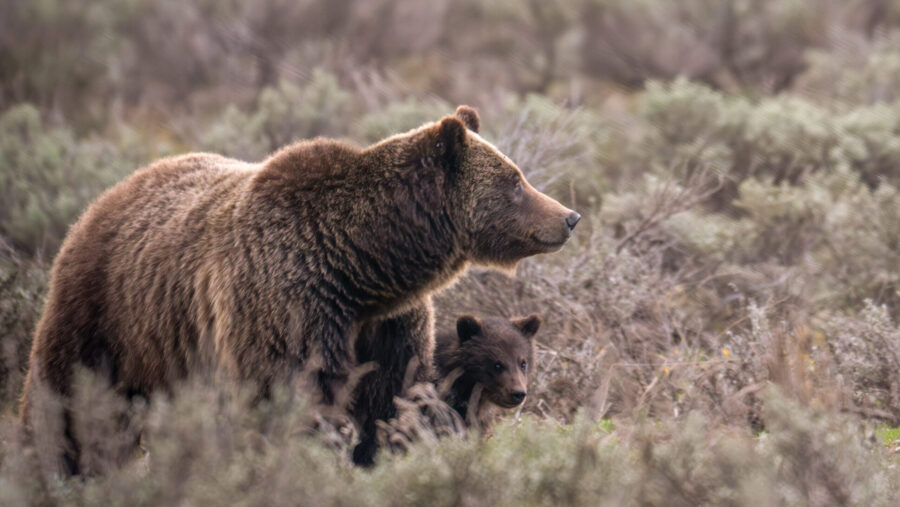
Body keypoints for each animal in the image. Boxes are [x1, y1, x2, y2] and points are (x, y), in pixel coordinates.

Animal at [22, 104, 584, 472]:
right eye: (515, 180)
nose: (569, 216)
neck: (364, 268)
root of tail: (111, 193)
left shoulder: (388, 325)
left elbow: (387, 401)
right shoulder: (288, 303)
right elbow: (292, 396)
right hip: (105, 312)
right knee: (68, 401)